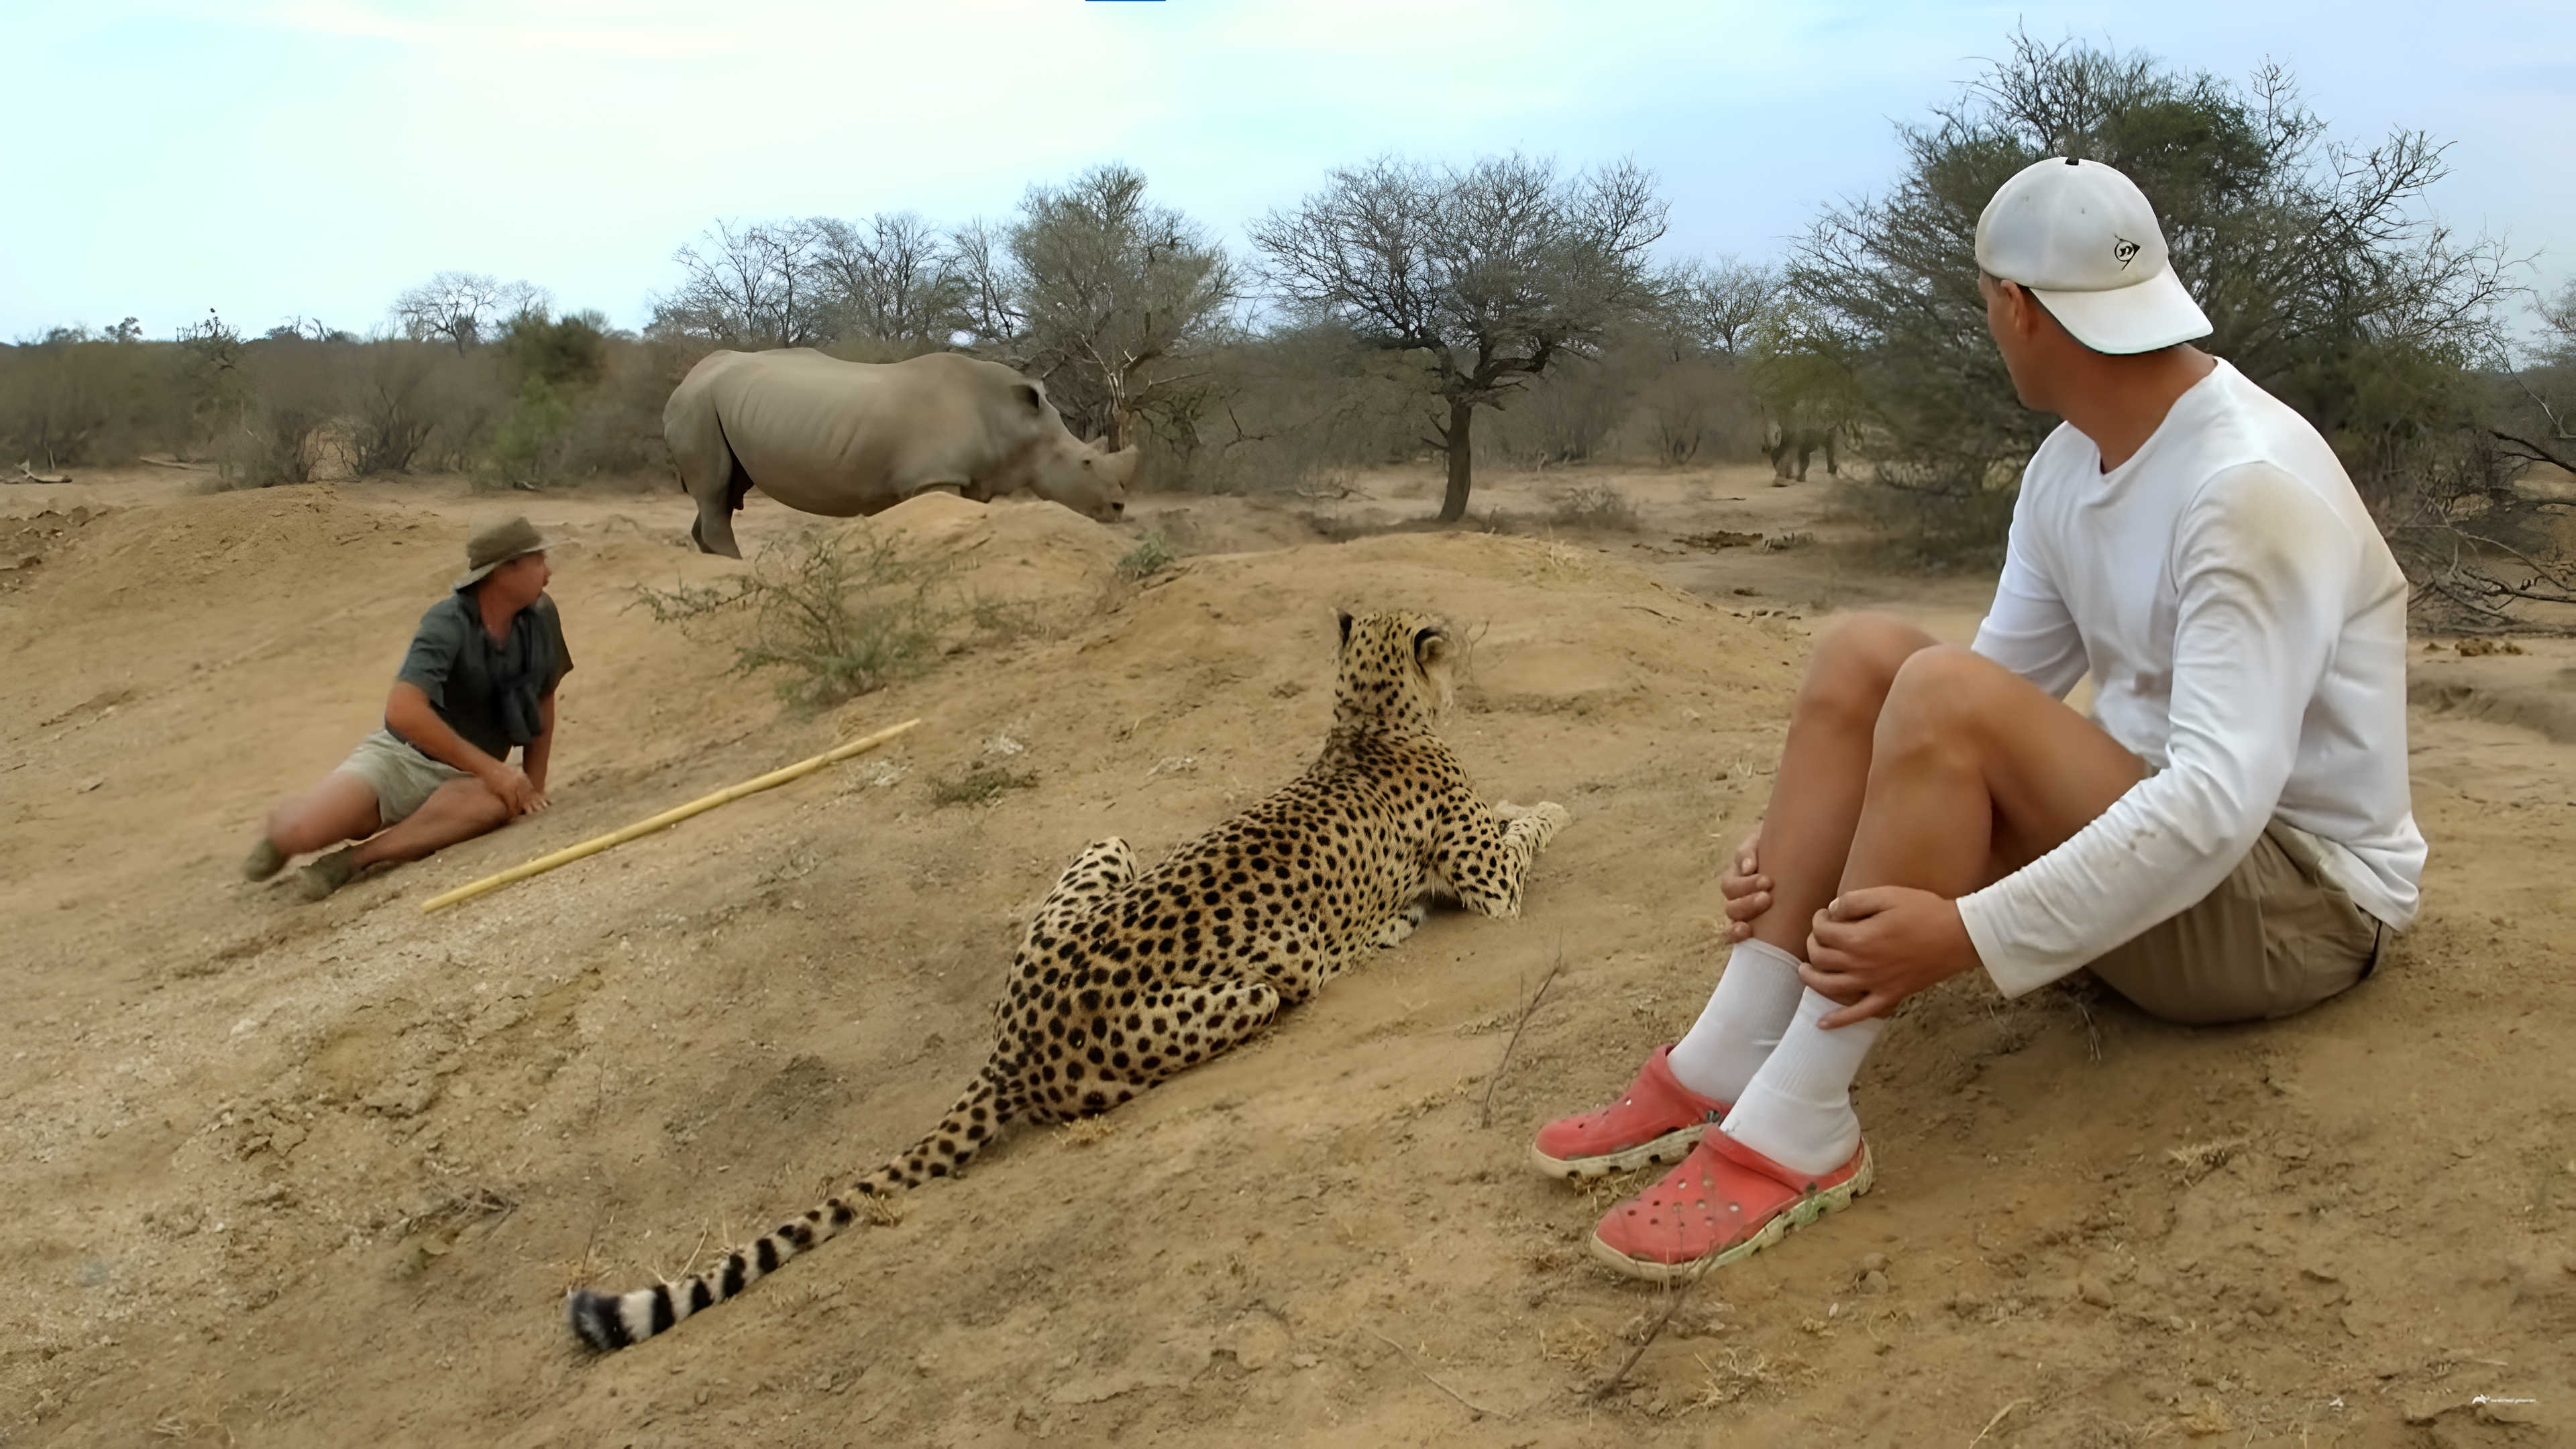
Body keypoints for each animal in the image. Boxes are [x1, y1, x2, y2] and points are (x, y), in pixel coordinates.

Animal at [566, 606, 1566, 1340]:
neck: (1367, 720)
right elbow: (1523, 833)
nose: (1465, 647)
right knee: (1285, 985)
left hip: (1106, 842)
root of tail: (1016, 1042)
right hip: (1254, 991)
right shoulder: (1491, 887)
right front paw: (1548, 807)